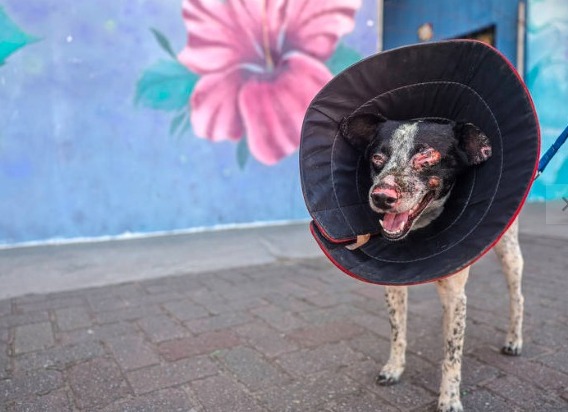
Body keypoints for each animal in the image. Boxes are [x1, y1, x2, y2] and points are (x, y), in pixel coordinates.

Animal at [342, 114, 524, 412]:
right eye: (377, 157)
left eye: (426, 155)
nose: (381, 196)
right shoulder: (394, 288)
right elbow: (397, 331)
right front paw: (394, 368)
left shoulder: (454, 295)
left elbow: (452, 355)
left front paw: (449, 399)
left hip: (509, 252)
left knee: (517, 297)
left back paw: (514, 340)